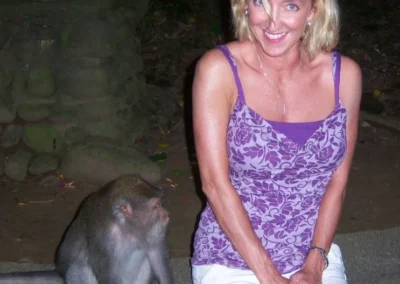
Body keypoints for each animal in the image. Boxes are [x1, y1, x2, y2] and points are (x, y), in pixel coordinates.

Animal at [0, 174, 173, 282]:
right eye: (156, 206)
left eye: (160, 203)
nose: (165, 213)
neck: (127, 228)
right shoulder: (102, 240)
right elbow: (106, 274)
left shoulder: (152, 232)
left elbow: (155, 254)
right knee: (80, 268)